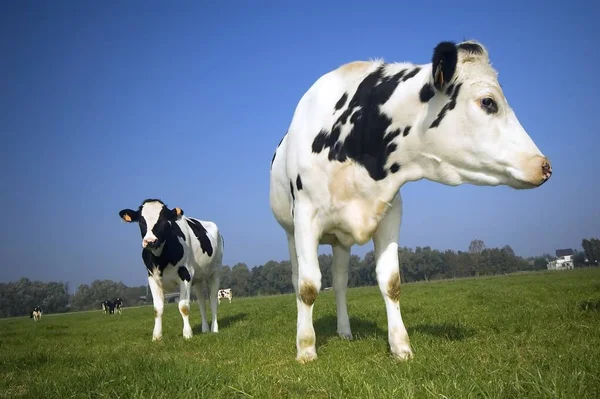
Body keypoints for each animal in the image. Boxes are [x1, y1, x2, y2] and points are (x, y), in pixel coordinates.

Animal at [119, 199, 225, 340]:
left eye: (164, 220)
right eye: (141, 220)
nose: (150, 241)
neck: (160, 260)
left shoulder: (185, 274)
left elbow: (183, 306)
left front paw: (187, 334)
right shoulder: (152, 278)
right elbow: (157, 309)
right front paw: (156, 336)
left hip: (216, 272)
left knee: (213, 300)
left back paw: (214, 329)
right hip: (198, 278)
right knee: (201, 302)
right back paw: (205, 329)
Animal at [270, 41, 552, 366]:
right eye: (488, 102)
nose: (544, 166)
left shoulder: (390, 214)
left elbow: (391, 282)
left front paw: (401, 346)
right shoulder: (306, 216)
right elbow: (308, 286)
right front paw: (306, 349)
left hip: (341, 241)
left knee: (340, 281)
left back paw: (345, 331)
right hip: (290, 232)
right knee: (297, 280)